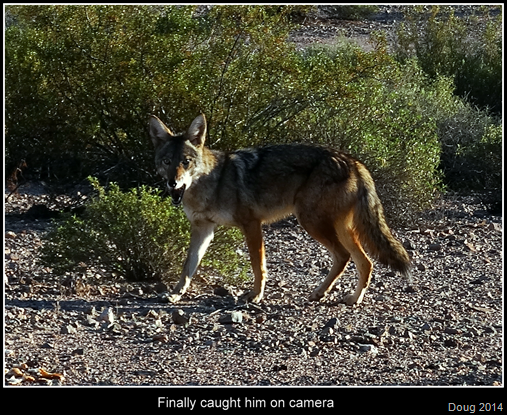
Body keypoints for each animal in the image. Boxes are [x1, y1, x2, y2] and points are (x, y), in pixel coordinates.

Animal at [149, 114, 411, 306]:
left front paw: (256, 295)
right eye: (166, 162)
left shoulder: (252, 224)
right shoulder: (203, 230)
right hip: (338, 228)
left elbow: (258, 265)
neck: (212, 182)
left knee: (345, 256)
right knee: (365, 262)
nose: (173, 183)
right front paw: (176, 293)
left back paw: (326, 293)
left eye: (186, 162)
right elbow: (188, 266)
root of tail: (354, 161)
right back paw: (350, 298)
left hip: (311, 223)